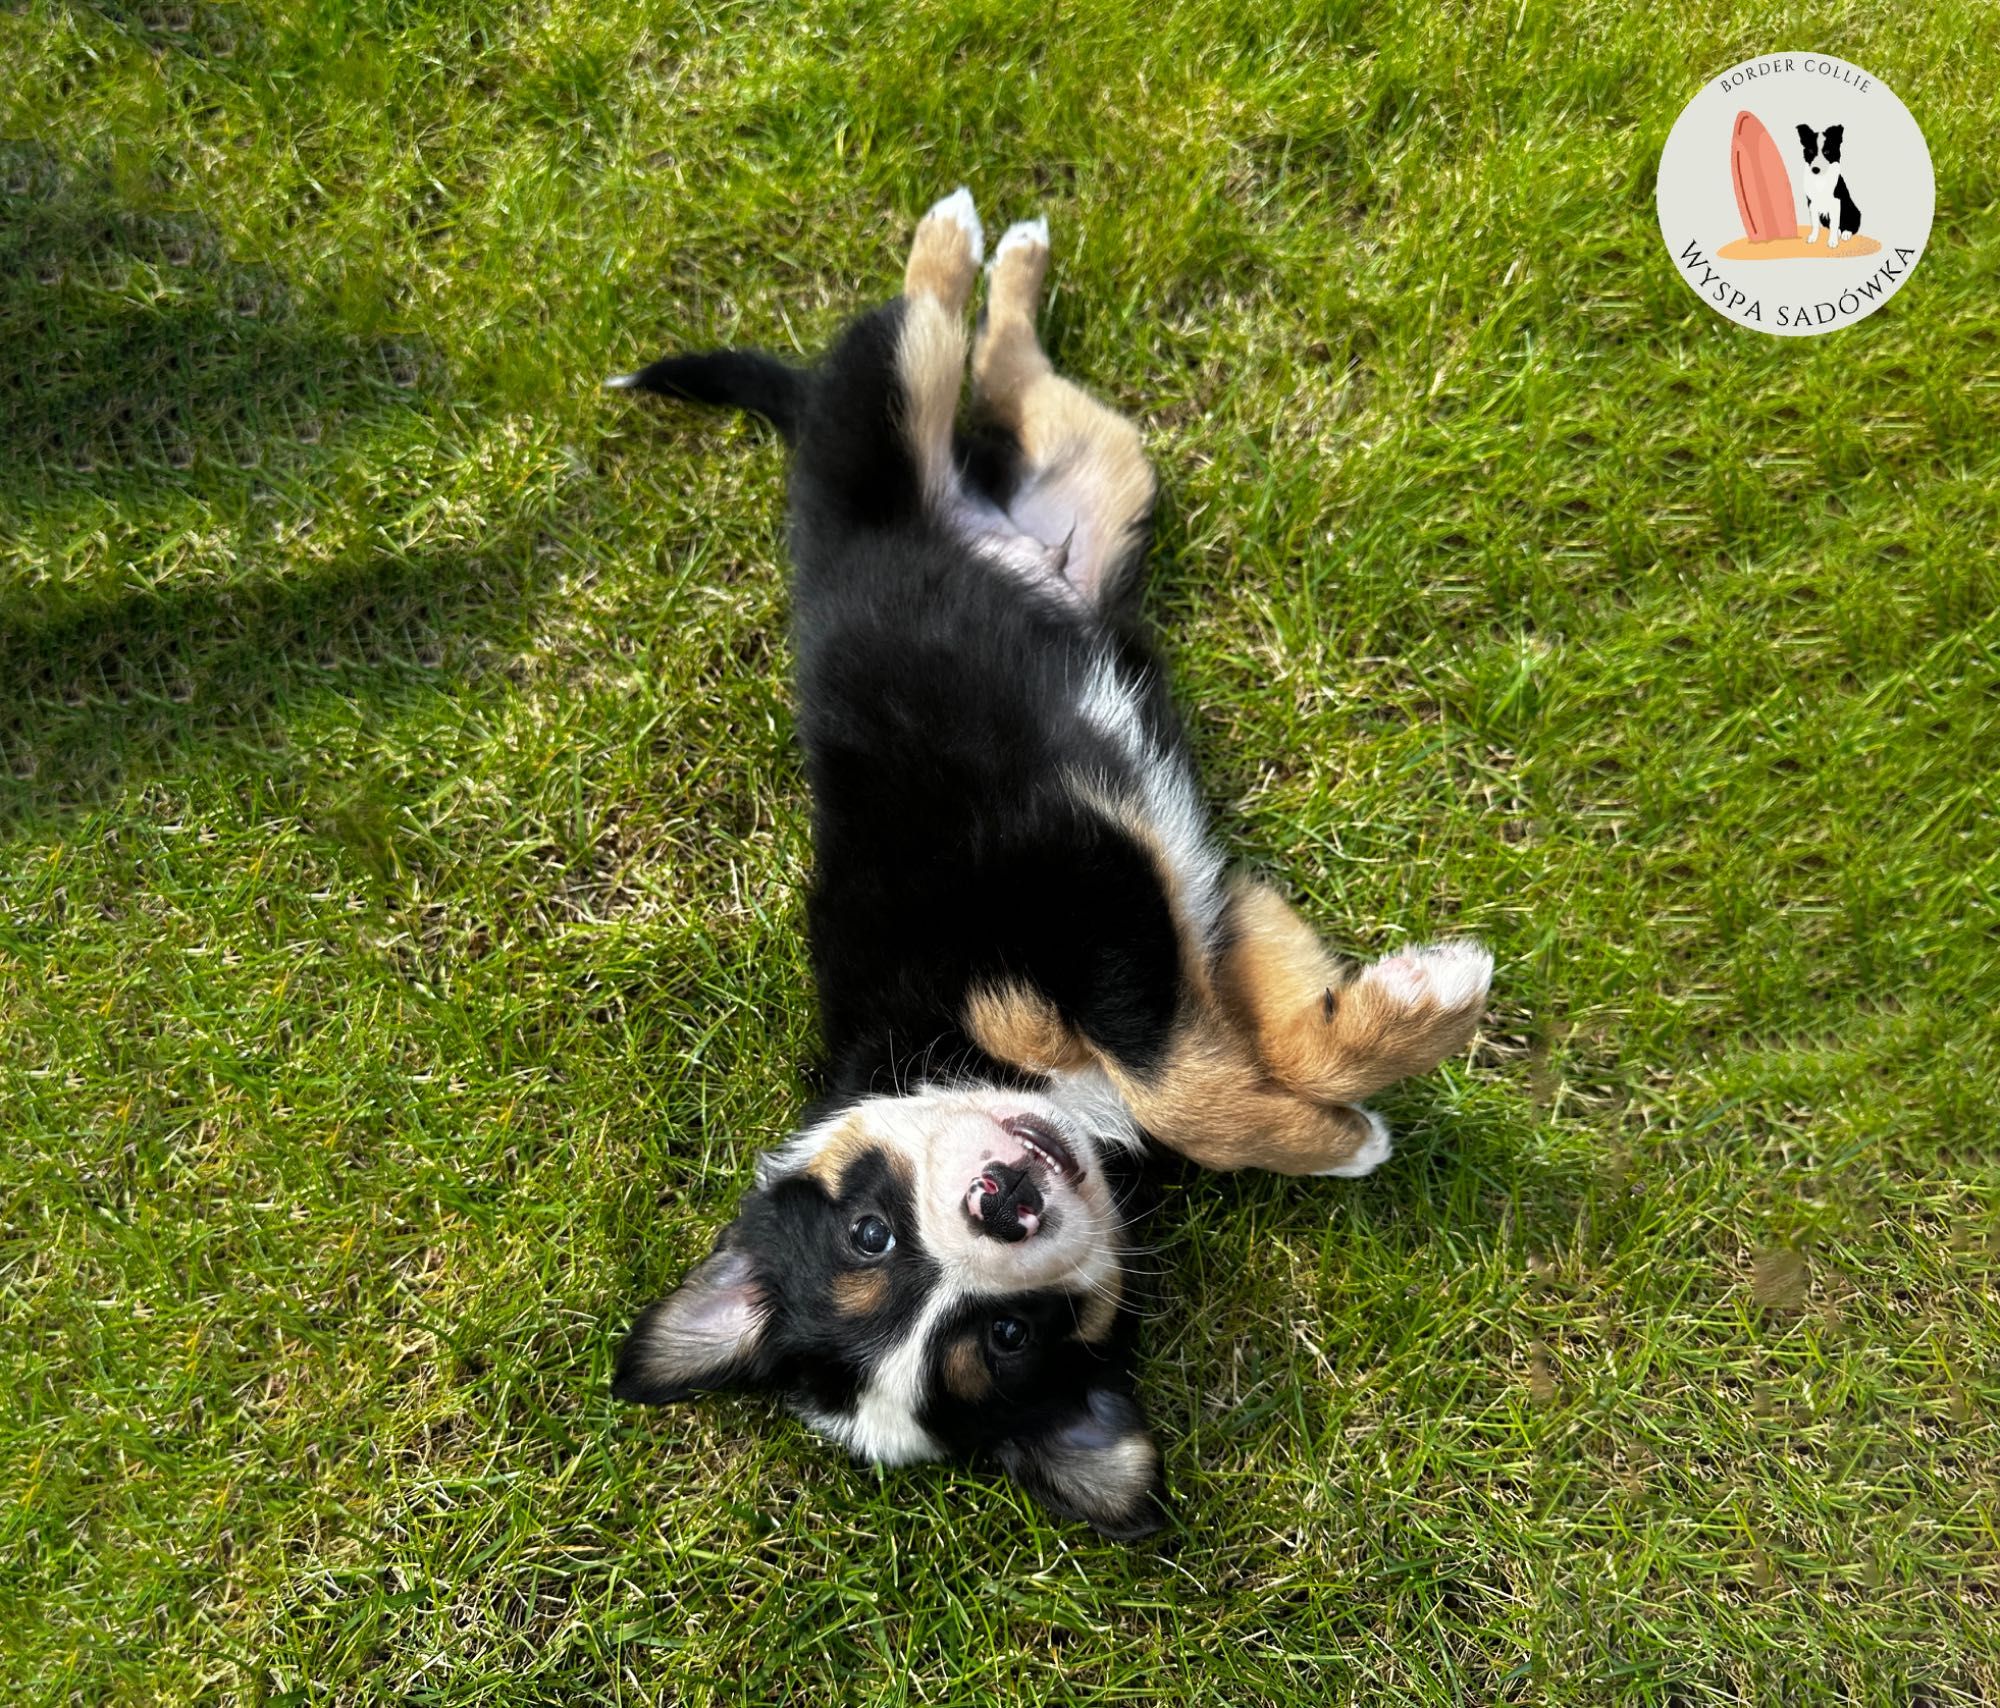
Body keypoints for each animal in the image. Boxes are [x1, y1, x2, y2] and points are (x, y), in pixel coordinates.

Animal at [604, 194, 1488, 1544]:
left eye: (870, 1235)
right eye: (1002, 1337)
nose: (1004, 1206)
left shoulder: (1083, 889)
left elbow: (1189, 1084)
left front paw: (1389, 1050)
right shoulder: (1192, 922)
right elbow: (1234, 1064)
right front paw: (1365, 1081)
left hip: (880, 421)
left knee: (916, 337)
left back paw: (963, 237)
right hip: (1106, 480)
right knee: (1018, 381)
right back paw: (1014, 268)